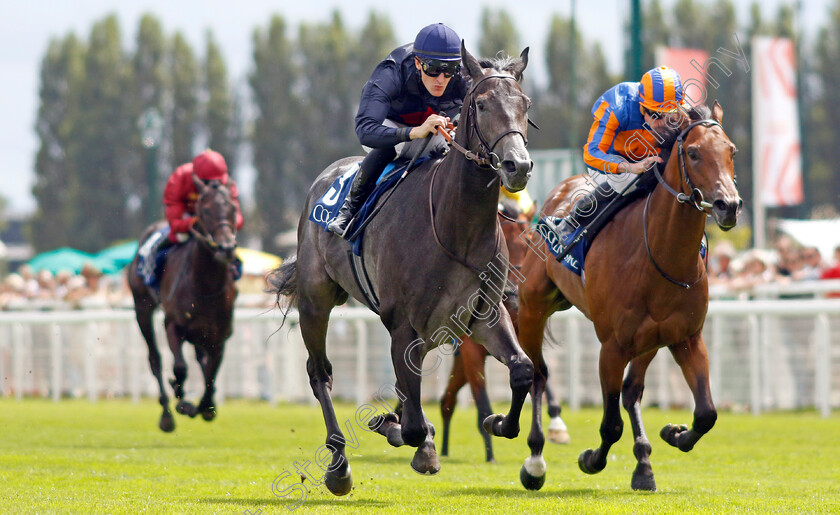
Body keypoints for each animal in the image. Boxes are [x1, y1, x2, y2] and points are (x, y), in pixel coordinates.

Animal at [128, 175, 240, 434]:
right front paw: (182, 399)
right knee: (155, 359)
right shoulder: (174, 326)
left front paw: (206, 407)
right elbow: (180, 368)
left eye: (232, 208)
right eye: (205, 209)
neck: (205, 285)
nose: (226, 248)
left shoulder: (219, 336)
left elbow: (211, 373)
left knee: (200, 360)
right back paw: (167, 414)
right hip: (142, 307)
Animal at [266, 43, 536, 496]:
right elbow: (408, 425)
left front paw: (498, 422)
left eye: (525, 104)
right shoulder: (401, 324)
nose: (518, 166)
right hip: (315, 301)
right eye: (481, 104)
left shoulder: (483, 316)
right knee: (320, 374)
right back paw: (338, 465)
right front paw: (399, 430)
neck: (455, 226)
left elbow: (522, 371)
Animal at [440, 199, 572, 464]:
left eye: (529, 242)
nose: (514, 293)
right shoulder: (471, 350)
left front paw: (556, 426)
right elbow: (483, 404)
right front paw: (491, 454)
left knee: (447, 400)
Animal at [520, 101, 740, 492]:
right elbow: (610, 425)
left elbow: (707, 413)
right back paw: (532, 457)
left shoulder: (686, 337)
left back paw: (643, 462)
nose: (728, 205)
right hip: (531, 307)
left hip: (649, 340)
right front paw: (591, 459)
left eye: (731, 151)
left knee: (632, 390)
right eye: (694, 152)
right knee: (537, 374)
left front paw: (674, 433)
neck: (659, 255)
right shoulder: (612, 345)